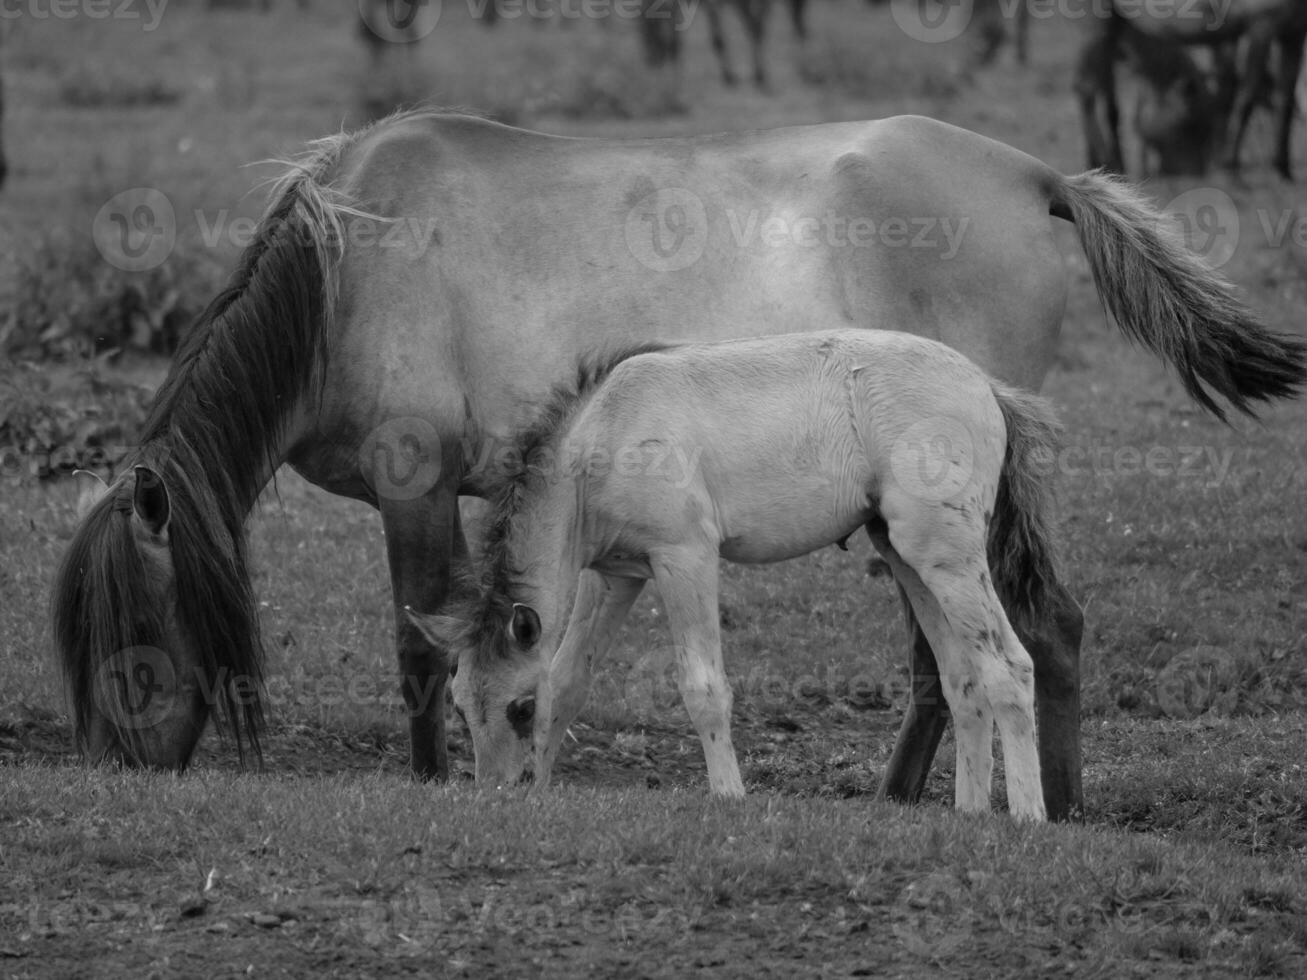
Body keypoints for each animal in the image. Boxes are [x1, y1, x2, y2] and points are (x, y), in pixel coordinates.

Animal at [410, 330, 1061, 820]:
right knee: (963, 677)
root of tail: (987, 387)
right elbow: (569, 680)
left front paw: (729, 796)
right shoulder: (615, 577)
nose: (499, 795)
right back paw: (970, 814)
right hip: (910, 559)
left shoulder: (686, 558)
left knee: (1009, 667)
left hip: (947, 558)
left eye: (519, 708)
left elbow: (703, 687)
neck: (603, 434)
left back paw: (1027, 817)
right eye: (460, 707)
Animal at [1076, 0, 1307, 179]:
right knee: (1088, 93)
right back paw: (1109, 162)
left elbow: (1286, 101)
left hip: (1113, 25)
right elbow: (1246, 97)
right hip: (1096, 23)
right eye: (1190, 123)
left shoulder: (1293, 33)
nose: (1192, 171)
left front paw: (1283, 169)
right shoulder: (1262, 25)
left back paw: (1108, 166)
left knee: (1105, 101)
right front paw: (1231, 165)